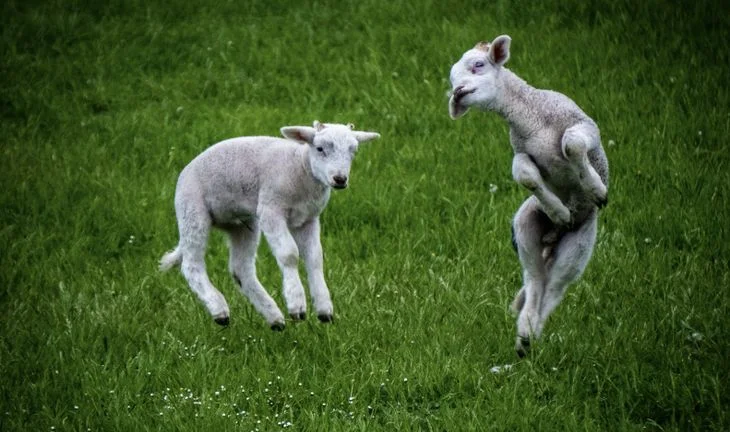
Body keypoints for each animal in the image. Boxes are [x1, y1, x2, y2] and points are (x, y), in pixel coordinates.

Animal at [159, 121, 380, 330]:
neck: (301, 166)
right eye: (319, 148)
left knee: (241, 269)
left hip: (242, 224)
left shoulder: (308, 219)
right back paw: (219, 310)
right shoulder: (271, 210)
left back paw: (274, 318)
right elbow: (289, 254)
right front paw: (297, 305)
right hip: (192, 210)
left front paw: (324, 309)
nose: (340, 179)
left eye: (353, 151)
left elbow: (315, 258)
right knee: (192, 265)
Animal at [448, 35, 609, 357]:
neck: (531, 119)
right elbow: (524, 174)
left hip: (581, 240)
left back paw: (530, 335)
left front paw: (595, 188)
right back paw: (525, 336)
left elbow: (572, 144)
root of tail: (553, 237)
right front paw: (559, 210)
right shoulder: (521, 150)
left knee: (556, 287)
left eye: (478, 65)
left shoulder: (584, 125)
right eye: (451, 78)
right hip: (526, 226)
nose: (457, 93)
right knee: (536, 280)